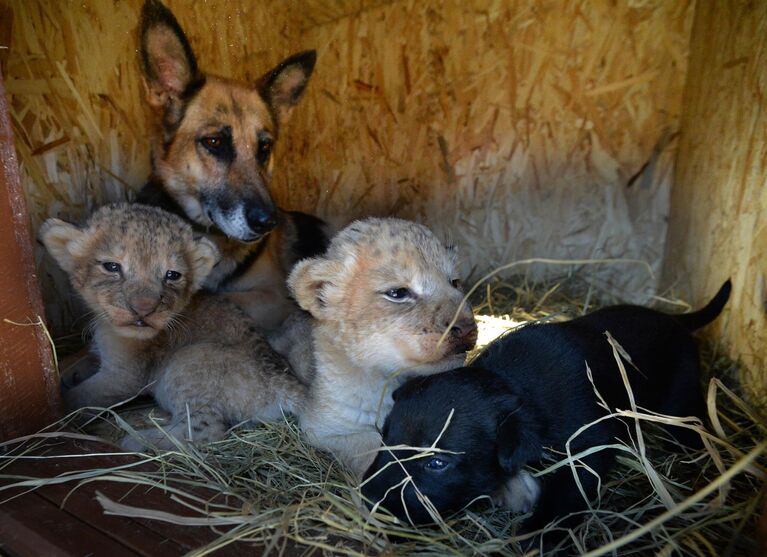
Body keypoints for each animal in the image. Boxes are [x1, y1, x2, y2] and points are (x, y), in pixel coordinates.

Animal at [364, 280, 728, 532]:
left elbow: (569, 492)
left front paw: (540, 533)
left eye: (437, 463)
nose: (369, 498)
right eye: (384, 438)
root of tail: (674, 318)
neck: (515, 383)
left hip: (679, 396)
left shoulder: (590, 447)